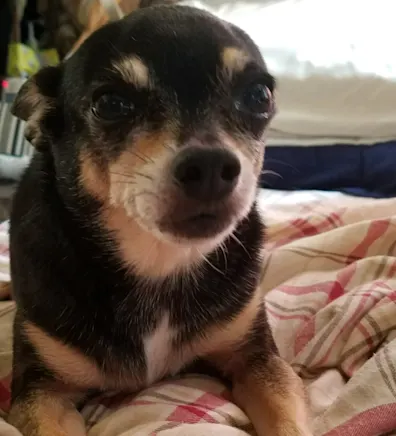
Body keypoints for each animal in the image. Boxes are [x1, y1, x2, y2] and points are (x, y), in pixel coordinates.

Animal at [6, 4, 312, 436]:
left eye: (259, 95)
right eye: (110, 103)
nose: (211, 165)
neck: (158, 264)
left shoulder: (258, 359)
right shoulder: (42, 391)